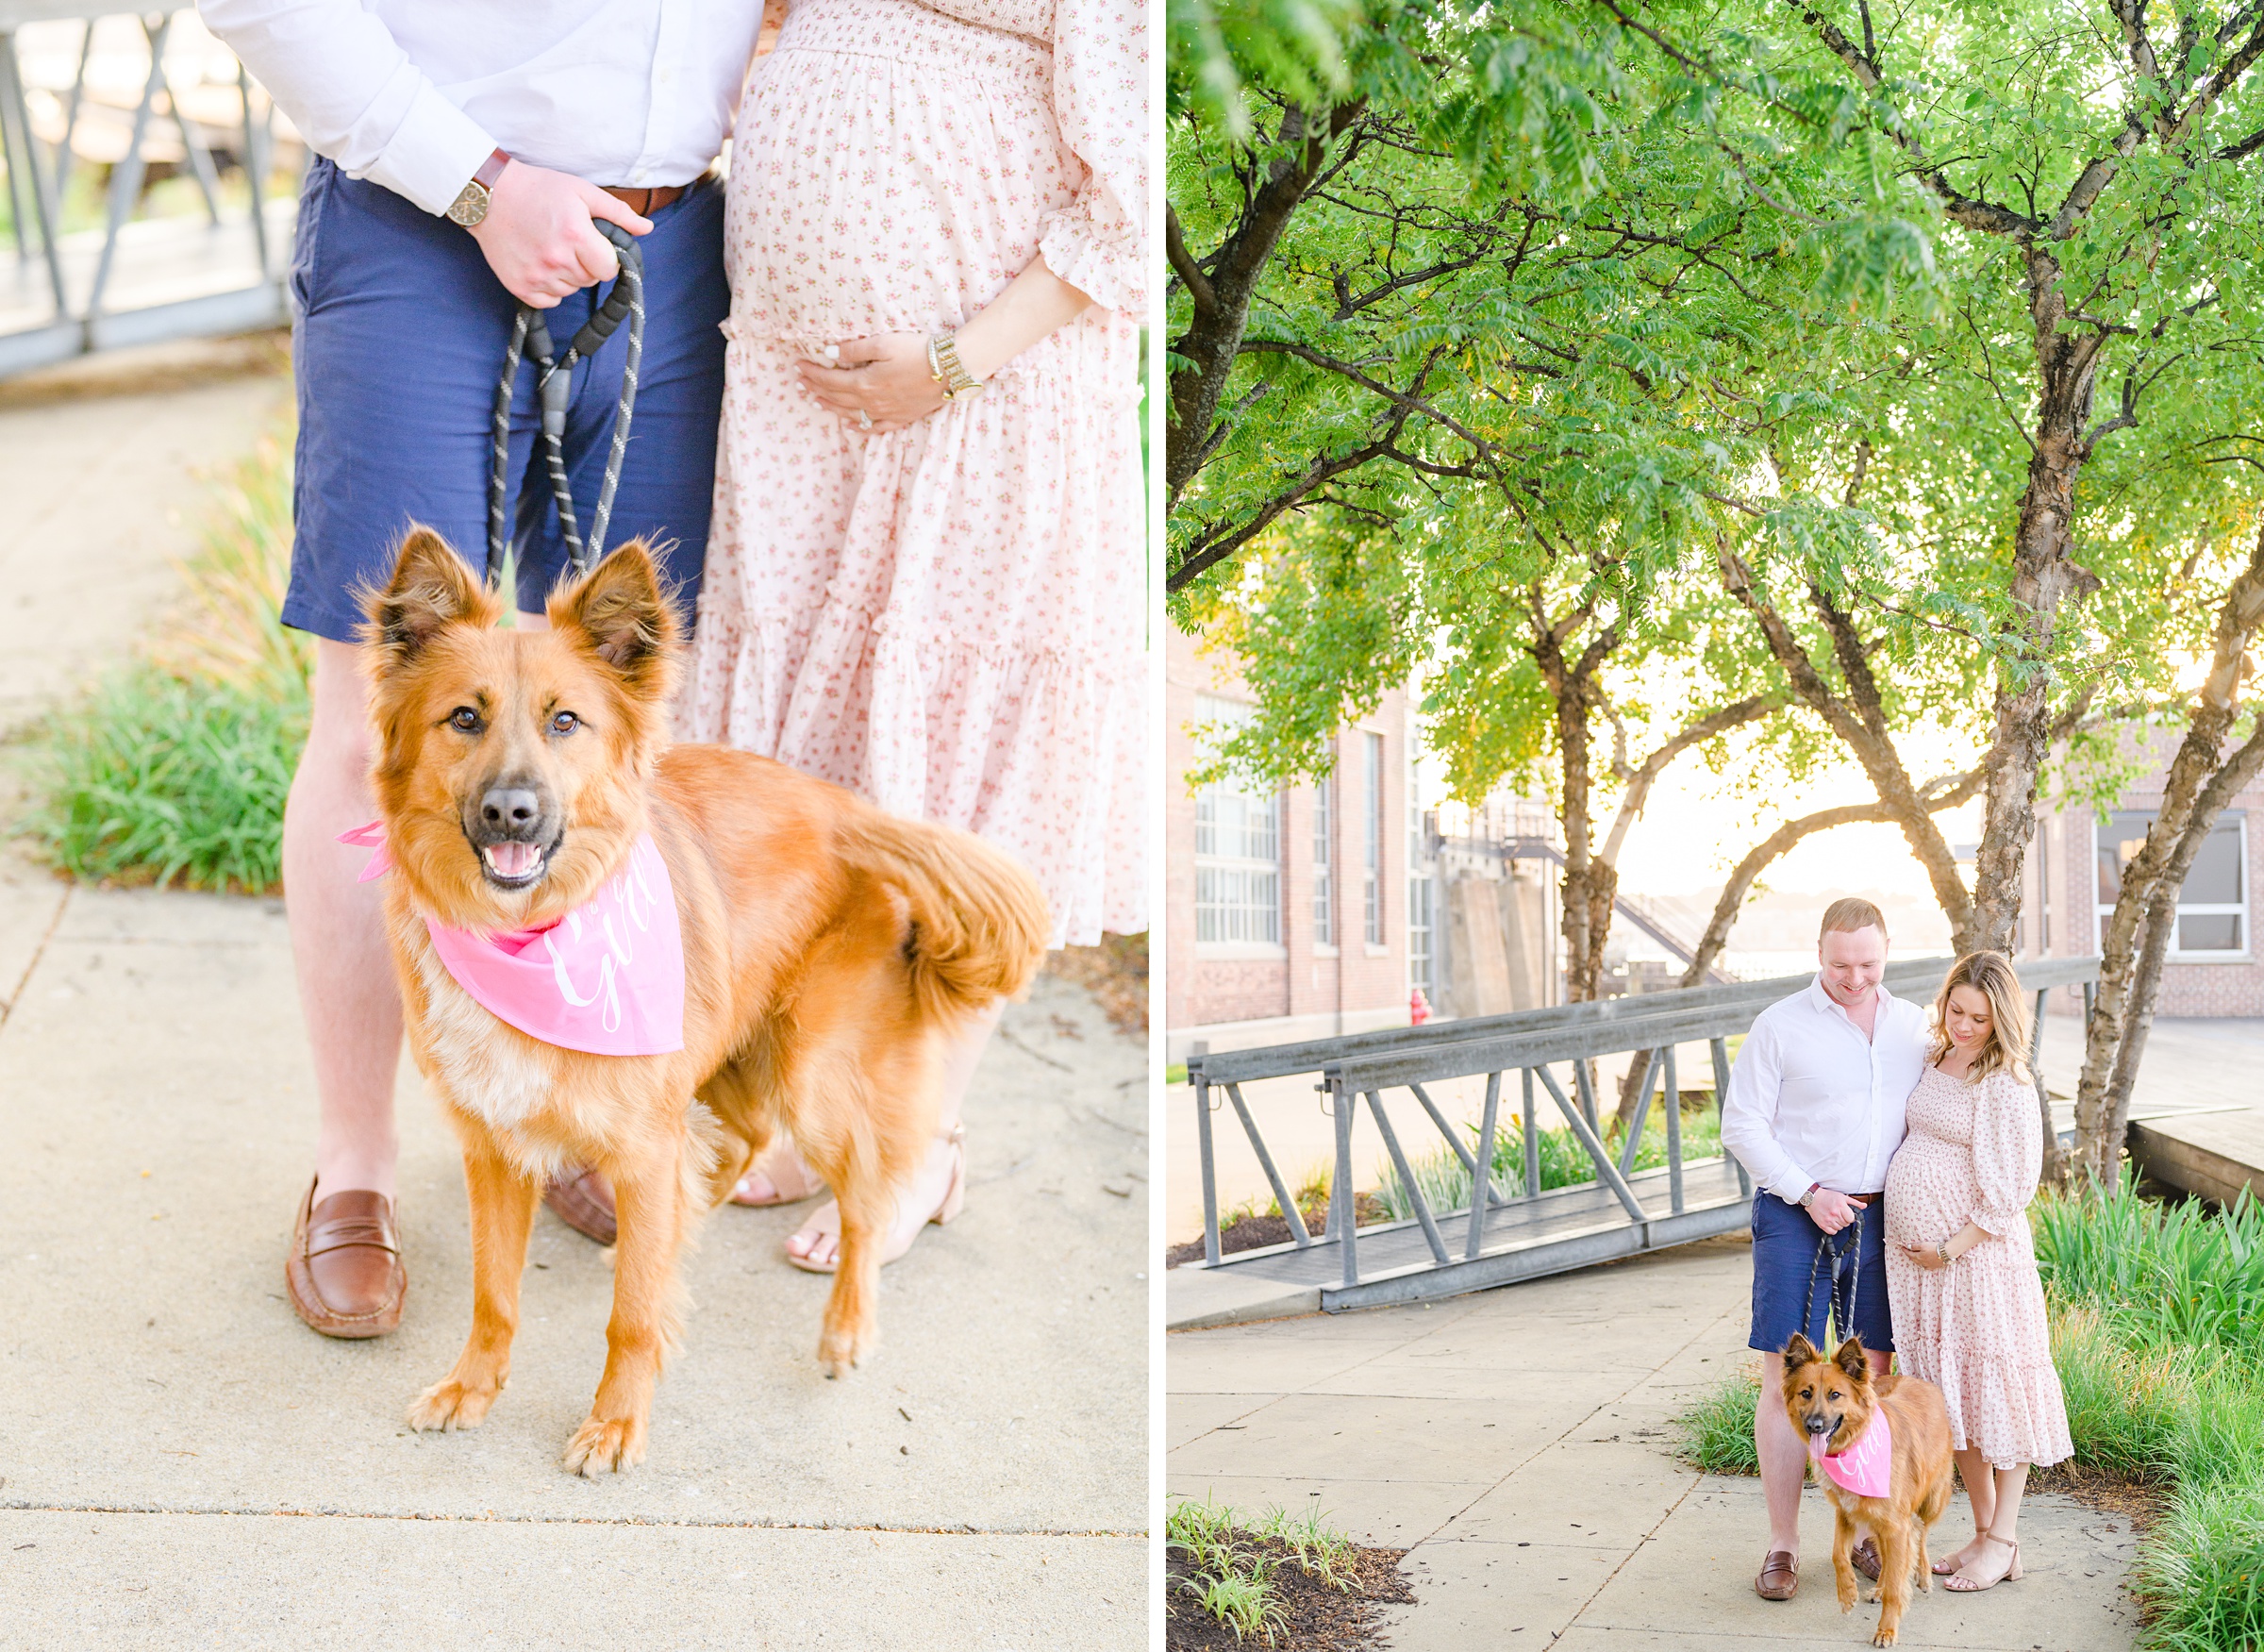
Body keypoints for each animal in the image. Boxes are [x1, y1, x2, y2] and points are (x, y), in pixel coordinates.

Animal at [359, 525, 1050, 1466]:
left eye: (565, 721)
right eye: (464, 718)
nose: (511, 813)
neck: (532, 936)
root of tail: (847, 810)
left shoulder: (645, 1137)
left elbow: (632, 1316)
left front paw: (617, 1419)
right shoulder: (497, 1145)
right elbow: (494, 1293)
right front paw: (474, 1386)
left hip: (811, 1074)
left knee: (864, 1191)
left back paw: (846, 1324)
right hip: (732, 1045)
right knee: (744, 1146)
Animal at [1774, 1330, 1956, 1638]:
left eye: (1835, 1394)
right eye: (1806, 1393)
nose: (1814, 1426)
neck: (1855, 1448)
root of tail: (1920, 1381)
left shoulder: (1896, 1522)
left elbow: (1897, 1581)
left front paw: (1887, 1630)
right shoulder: (1847, 1512)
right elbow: (1838, 1553)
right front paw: (1847, 1593)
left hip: (1931, 1498)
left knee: (1921, 1531)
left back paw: (1922, 1574)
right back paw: (1880, 1587)